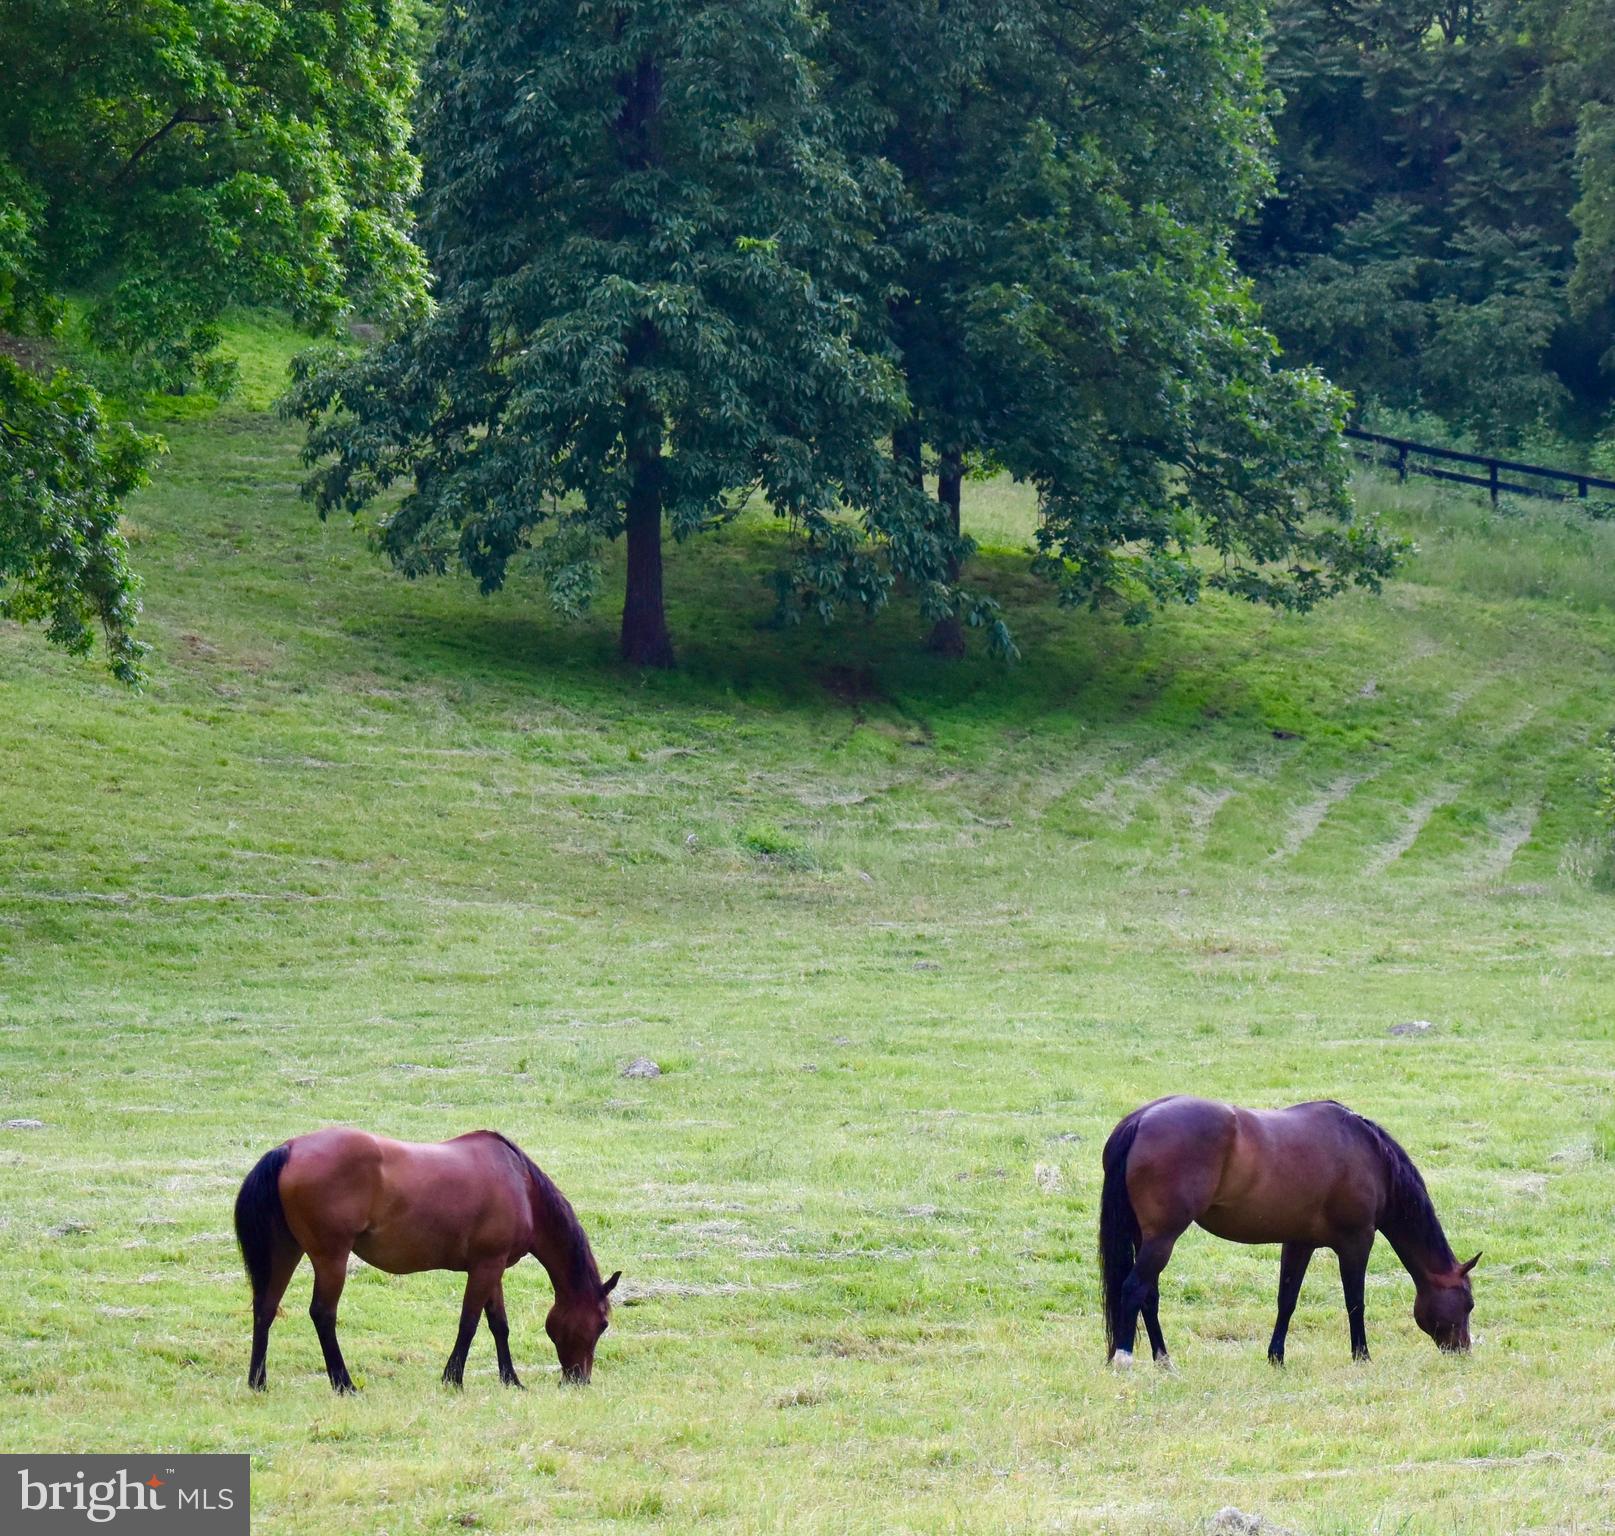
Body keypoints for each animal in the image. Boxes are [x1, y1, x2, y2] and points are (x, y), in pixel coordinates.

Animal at [233, 1127, 620, 1393]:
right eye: (602, 1324)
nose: (579, 1380)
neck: (520, 1184)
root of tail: (288, 1148)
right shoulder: (486, 1266)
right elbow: (469, 1323)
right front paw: (453, 1379)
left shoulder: (491, 1268)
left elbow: (499, 1325)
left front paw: (511, 1380)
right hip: (331, 1258)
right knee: (322, 1314)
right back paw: (344, 1384)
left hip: (286, 1250)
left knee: (266, 1308)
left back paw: (258, 1381)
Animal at [1098, 1096, 1478, 1366]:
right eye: (1469, 1303)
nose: (1462, 1351)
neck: (1369, 1155)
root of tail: (1140, 1119)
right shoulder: (1357, 1242)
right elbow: (1355, 1301)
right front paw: (1362, 1356)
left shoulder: (1299, 1242)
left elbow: (1287, 1300)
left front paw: (1276, 1357)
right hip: (1162, 1238)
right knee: (1134, 1288)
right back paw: (1125, 1360)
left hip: (1144, 1237)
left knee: (1148, 1295)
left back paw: (1164, 1360)